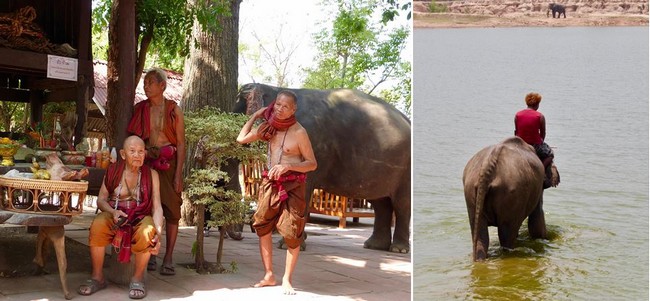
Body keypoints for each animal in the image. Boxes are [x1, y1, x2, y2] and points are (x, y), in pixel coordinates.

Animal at [234, 82, 410, 253]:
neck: (275, 88)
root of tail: (407, 119)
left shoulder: (311, 141)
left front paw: (289, 246)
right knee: (381, 203)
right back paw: (374, 246)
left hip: (406, 170)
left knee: (401, 204)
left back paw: (398, 249)